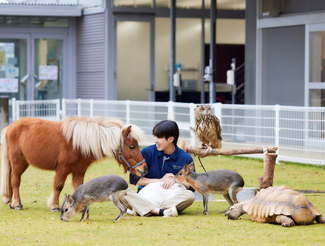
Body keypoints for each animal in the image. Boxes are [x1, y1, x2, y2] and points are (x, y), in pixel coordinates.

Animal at [0, 117, 147, 211]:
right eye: (132, 146)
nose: (144, 168)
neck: (78, 143)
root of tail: (9, 127)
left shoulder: (79, 170)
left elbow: (79, 186)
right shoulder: (62, 169)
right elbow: (58, 186)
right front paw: (54, 206)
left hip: (24, 163)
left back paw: (12, 203)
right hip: (17, 162)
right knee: (15, 181)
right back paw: (17, 204)